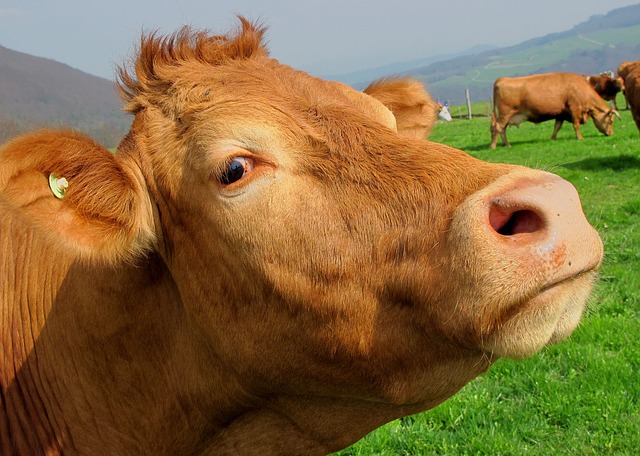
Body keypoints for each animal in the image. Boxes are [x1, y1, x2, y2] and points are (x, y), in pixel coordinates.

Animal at [490, 71, 620, 149]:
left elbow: (557, 126)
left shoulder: (561, 114)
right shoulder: (574, 108)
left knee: (502, 129)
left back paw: (506, 144)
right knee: (498, 128)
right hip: (505, 113)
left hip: (506, 116)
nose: (611, 133)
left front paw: (553, 138)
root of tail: (502, 79)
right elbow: (576, 125)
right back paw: (494, 146)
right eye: (611, 120)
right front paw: (580, 137)